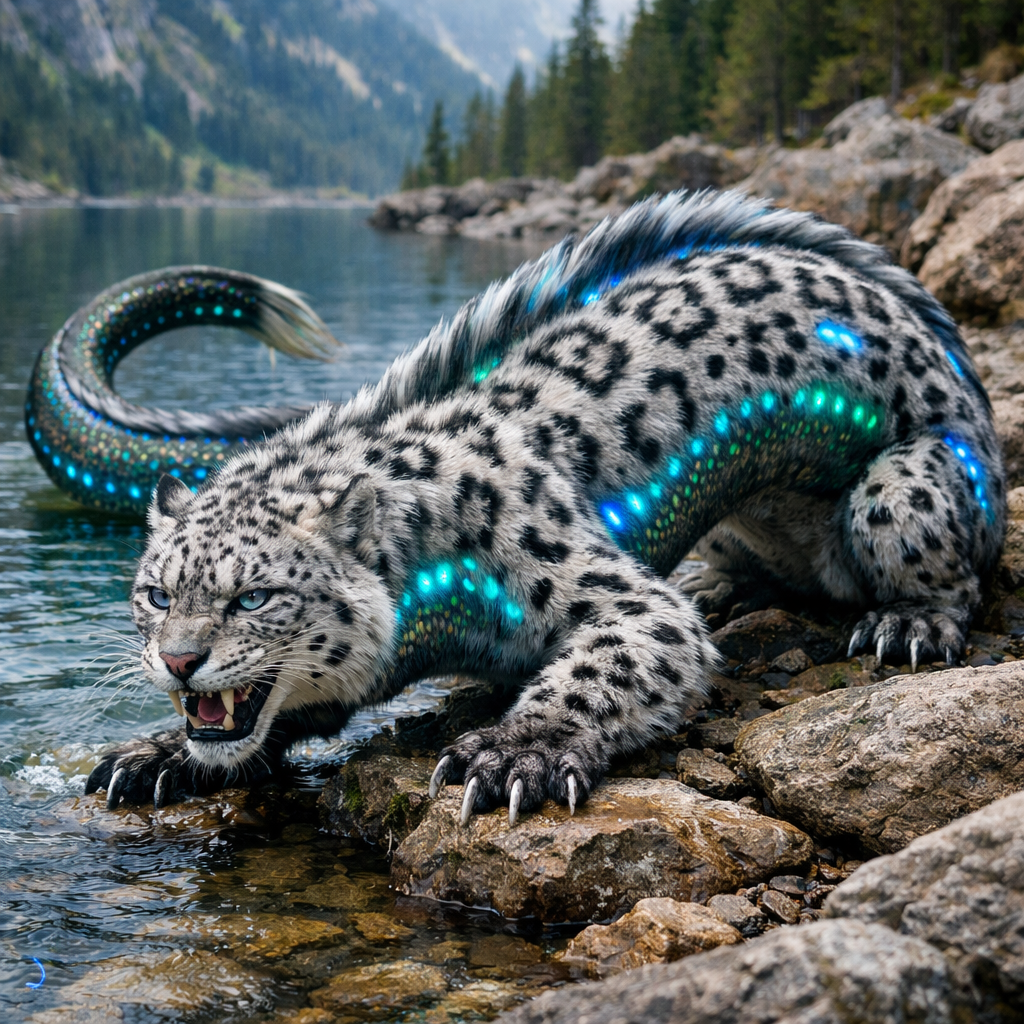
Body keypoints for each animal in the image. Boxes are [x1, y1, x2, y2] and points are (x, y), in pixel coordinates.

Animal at [81, 189, 1005, 824]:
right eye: (157, 593)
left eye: (254, 596)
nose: (178, 661)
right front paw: (151, 754)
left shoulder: (619, 599)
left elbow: (606, 666)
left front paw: (507, 756)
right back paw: (718, 586)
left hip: (902, 493)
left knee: (950, 580)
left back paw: (907, 625)